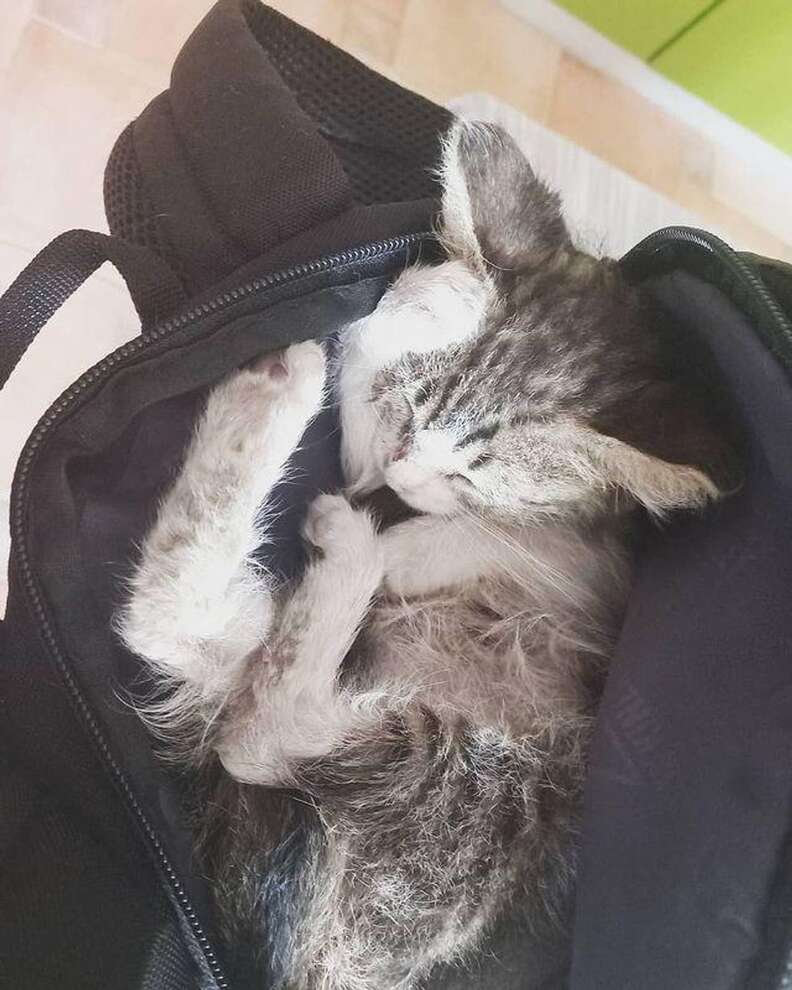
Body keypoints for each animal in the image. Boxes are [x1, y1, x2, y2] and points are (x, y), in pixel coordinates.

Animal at [119, 120, 736, 988]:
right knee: (197, 642)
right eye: (411, 410)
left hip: (481, 794)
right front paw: (378, 403)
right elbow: (373, 331)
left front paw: (408, 539)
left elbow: (512, 542)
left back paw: (337, 514)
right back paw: (286, 404)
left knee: (256, 725)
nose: (399, 475)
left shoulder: (606, 578)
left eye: (469, 475)